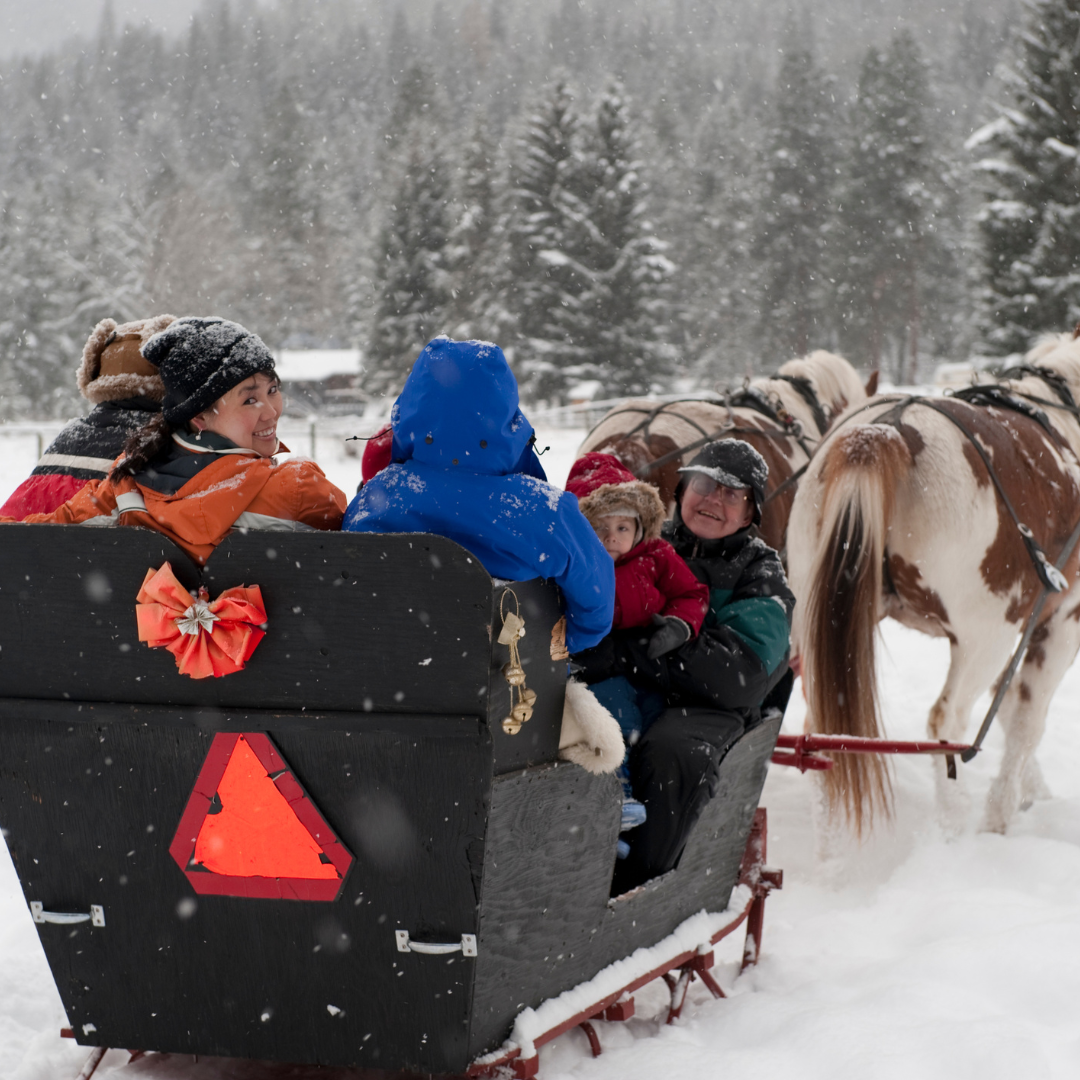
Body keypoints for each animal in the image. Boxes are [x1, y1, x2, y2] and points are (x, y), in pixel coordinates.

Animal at [790, 332, 1080, 838]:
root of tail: (886, 432)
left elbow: (1010, 711)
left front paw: (1031, 790)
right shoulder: (1061, 624)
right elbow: (1026, 720)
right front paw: (1000, 814)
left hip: (815, 622)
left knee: (821, 725)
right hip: (986, 637)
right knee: (947, 721)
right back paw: (953, 824)